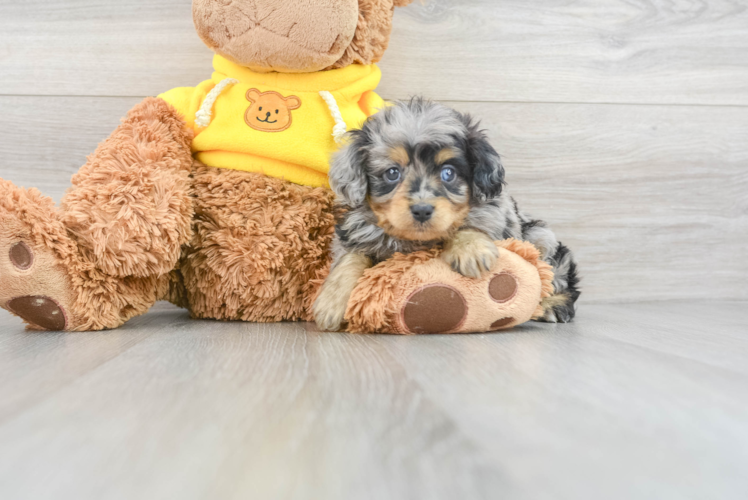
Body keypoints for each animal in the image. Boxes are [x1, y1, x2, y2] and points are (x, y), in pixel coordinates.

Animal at [312, 98, 580, 332]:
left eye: (448, 173)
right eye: (392, 173)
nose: (422, 209)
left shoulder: (494, 214)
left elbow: (469, 221)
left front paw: (471, 249)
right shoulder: (354, 232)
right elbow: (351, 258)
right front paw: (332, 302)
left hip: (540, 236)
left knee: (557, 275)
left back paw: (552, 306)